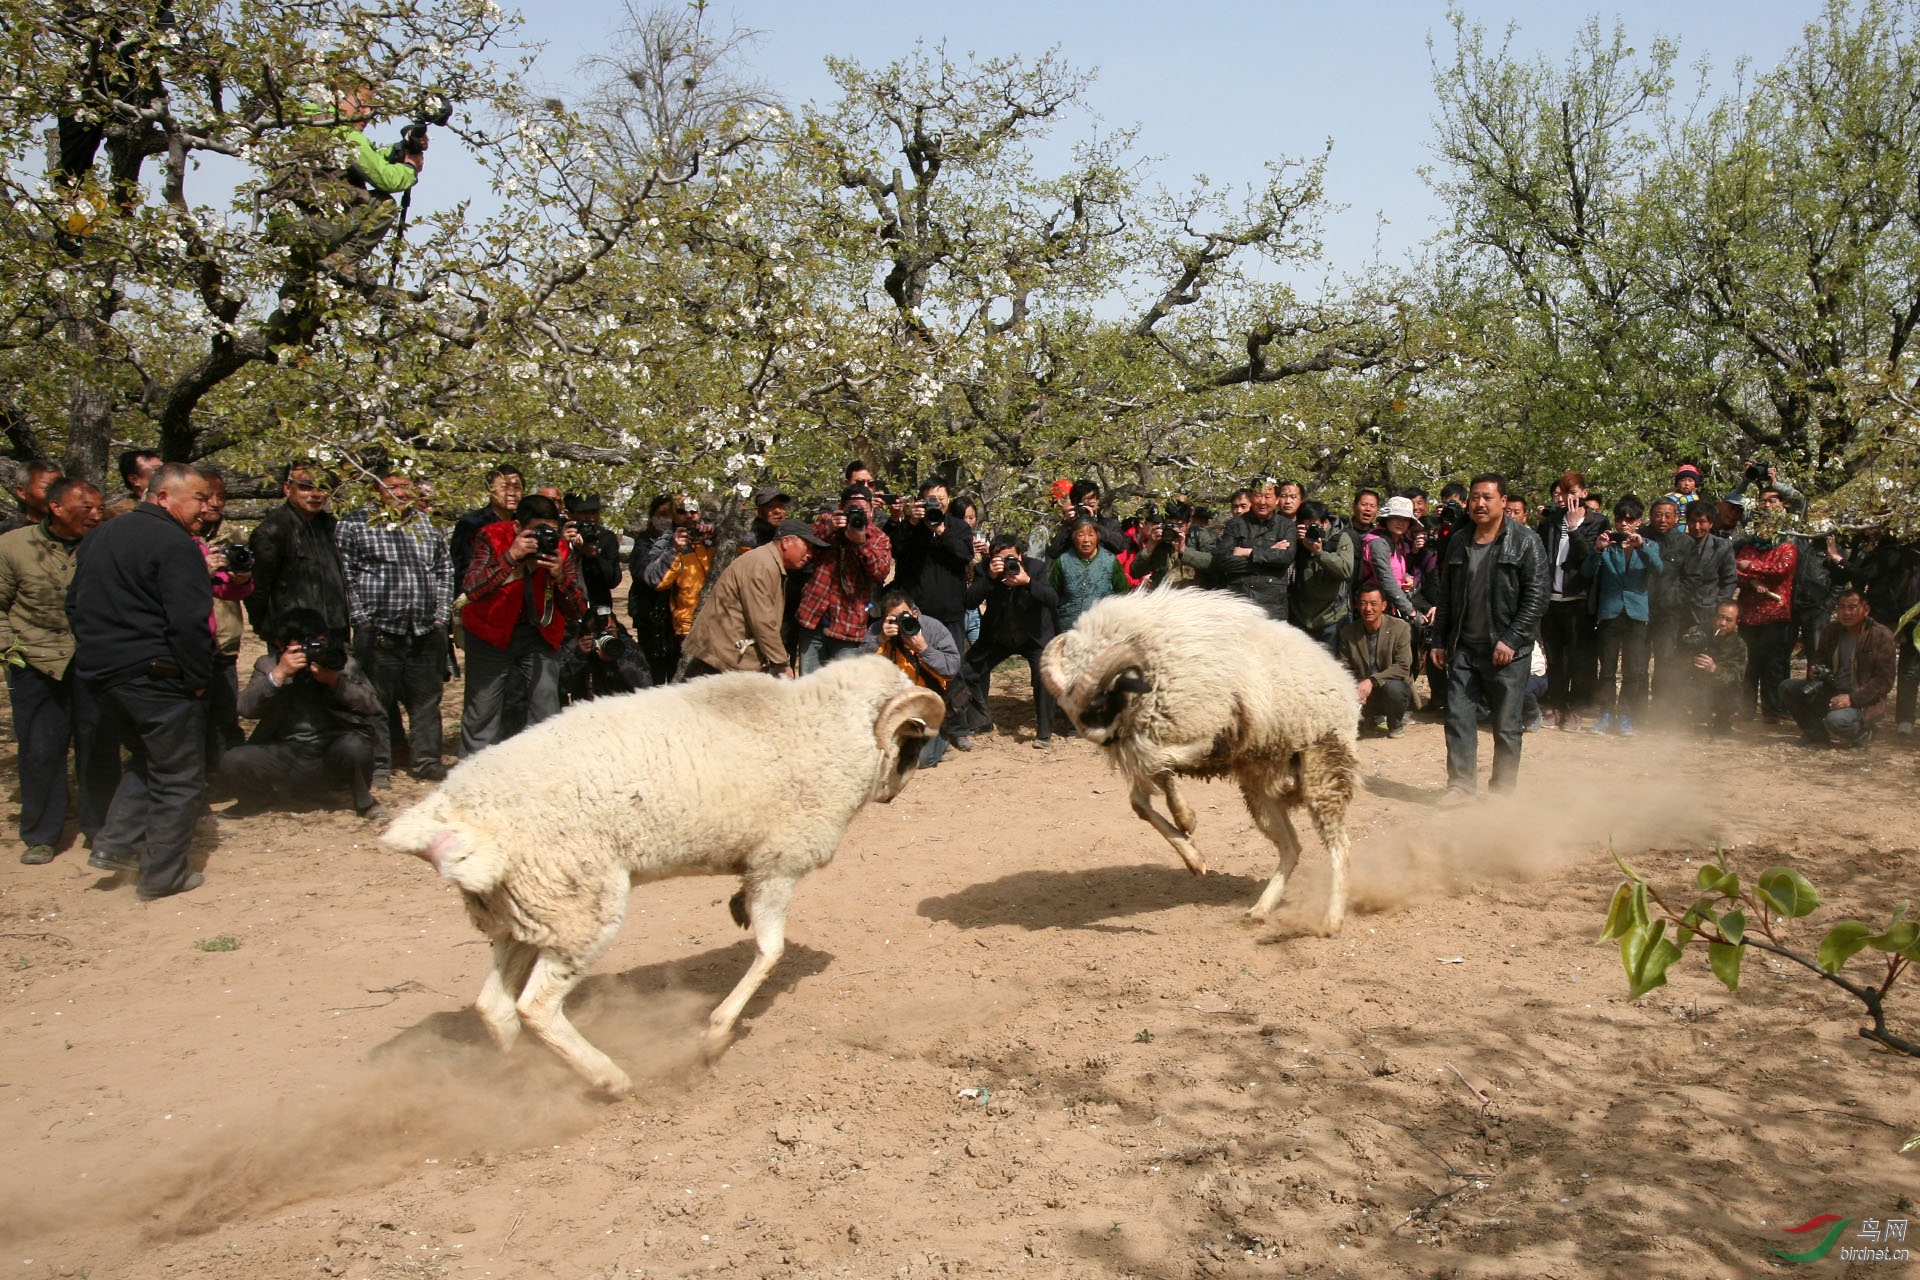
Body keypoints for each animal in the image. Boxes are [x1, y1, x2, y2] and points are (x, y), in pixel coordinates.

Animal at [376, 656, 944, 1097]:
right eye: (913, 741)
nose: (896, 792)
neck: (822, 727)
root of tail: (450, 815)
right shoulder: (778, 865)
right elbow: (771, 952)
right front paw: (714, 1036)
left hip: (527, 913)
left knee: (494, 1007)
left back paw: (524, 1077)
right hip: (579, 909)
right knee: (535, 1008)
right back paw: (610, 1079)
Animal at [1044, 587, 1359, 932]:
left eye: (1100, 701)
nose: (1100, 739)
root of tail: (1344, 679)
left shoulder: (1214, 734)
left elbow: (1157, 763)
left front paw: (1186, 818)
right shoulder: (1150, 741)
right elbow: (1141, 799)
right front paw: (1194, 857)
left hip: (1323, 767)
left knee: (1340, 847)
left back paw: (1331, 921)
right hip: (1259, 789)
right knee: (1291, 847)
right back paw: (1259, 910)